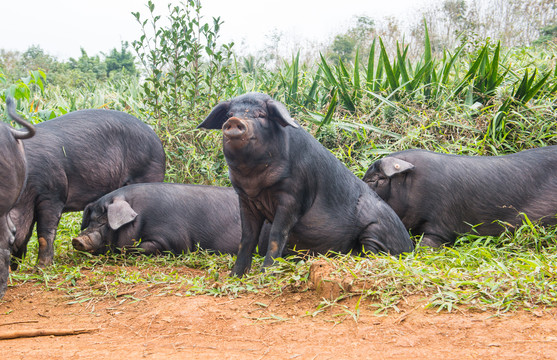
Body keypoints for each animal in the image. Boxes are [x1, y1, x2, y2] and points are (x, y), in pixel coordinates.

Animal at [9, 108, 165, 268]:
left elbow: (44, 233)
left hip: (149, 173)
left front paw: (40, 268)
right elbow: (27, 233)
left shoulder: (53, 194)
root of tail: (155, 137)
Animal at [197, 92, 412, 276]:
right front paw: (235, 275)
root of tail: (410, 246)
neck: (255, 183)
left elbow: (277, 234)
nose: (234, 122)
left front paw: (265, 274)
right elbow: (247, 238)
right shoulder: (245, 199)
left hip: (375, 228)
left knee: (373, 252)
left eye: (261, 115)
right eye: (230, 114)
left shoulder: (293, 196)